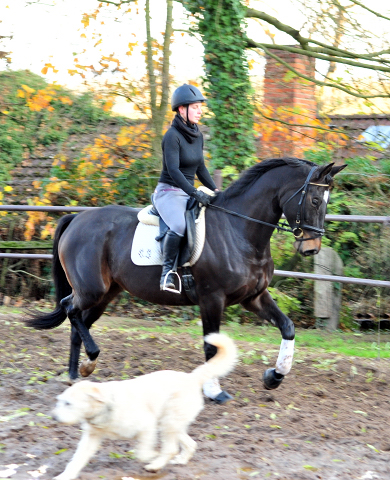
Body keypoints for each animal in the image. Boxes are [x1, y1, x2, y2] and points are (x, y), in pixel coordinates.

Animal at [24, 158, 346, 402]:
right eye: (314, 200)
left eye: (326, 201)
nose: (311, 248)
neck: (240, 231)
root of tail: (76, 219)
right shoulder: (211, 299)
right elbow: (211, 348)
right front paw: (214, 392)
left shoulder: (253, 297)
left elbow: (288, 327)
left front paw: (274, 376)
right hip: (92, 289)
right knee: (70, 308)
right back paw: (88, 362)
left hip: (106, 293)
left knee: (79, 321)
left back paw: (77, 374)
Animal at [50, 334, 236, 480]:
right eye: (59, 401)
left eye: (68, 403)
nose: (54, 417)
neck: (107, 405)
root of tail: (192, 377)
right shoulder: (91, 437)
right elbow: (76, 459)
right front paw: (64, 476)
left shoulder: (147, 425)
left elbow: (143, 453)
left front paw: (153, 457)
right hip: (171, 423)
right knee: (190, 444)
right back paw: (180, 460)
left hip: (168, 423)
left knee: (171, 448)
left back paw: (156, 465)